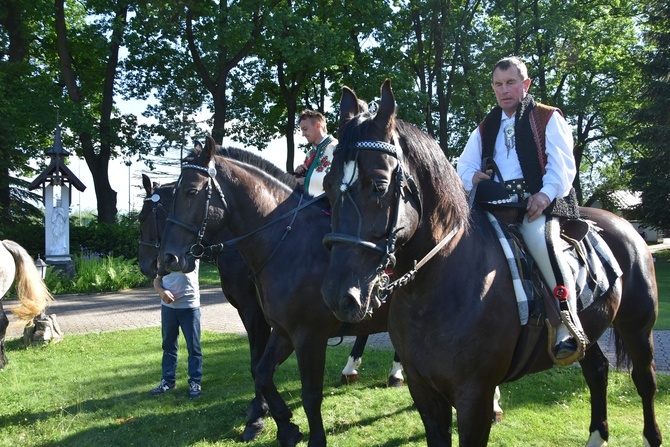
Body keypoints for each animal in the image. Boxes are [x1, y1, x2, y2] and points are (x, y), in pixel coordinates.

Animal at [318, 80, 660, 447]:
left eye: (380, 185)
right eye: (327, 185)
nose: (341, 296)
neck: (440, 287)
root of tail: (624, 224)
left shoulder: (474, 397)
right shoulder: (425, 392)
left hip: (638, 328)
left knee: (644, 380)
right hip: (592, 330)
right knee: (597, 370)